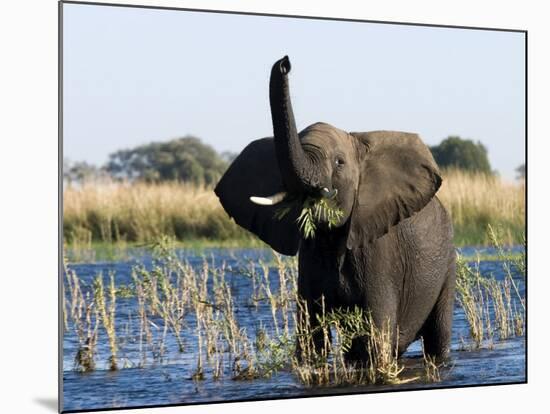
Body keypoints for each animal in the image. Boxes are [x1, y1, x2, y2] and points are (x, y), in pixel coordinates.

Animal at [216, 55, 458, 362]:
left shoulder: (380, 253)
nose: (284, 62)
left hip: (447, 263)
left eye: (339, 162)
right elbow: (311, 340)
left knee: (437, 336)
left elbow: (376, 339)